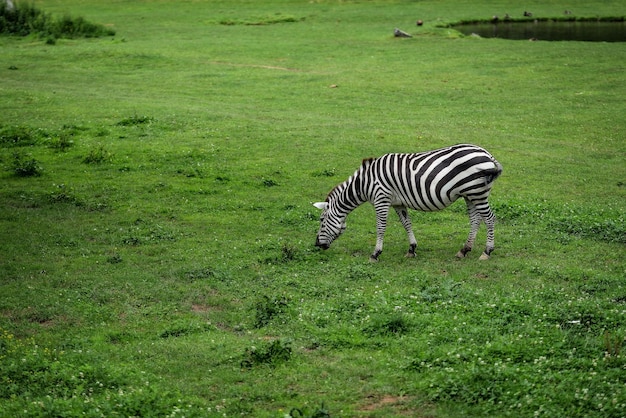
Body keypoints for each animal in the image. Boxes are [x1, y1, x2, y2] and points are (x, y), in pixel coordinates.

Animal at [312, 144, 502, 262]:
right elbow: (406, 223)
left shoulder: (381, 199)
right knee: (475, 220)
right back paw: (464, 250)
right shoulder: (398, 203)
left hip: (477, 192)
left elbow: (381, 227)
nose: (317, 245)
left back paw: (487, 252)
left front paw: (375, 254)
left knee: (490, 219)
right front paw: (412, 249)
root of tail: (487, 154)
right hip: (470, 194)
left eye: (321, 220)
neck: (365, 183)